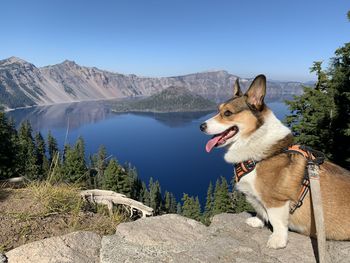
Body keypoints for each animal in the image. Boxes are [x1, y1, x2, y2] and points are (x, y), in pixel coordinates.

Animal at [200, 75, 350, 251]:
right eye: (218, 110)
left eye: (228, 113)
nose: (201, 126)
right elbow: (260, 211)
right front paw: (257, 221)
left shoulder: (277, 202)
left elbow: (277, 221)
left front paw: (277, 240)